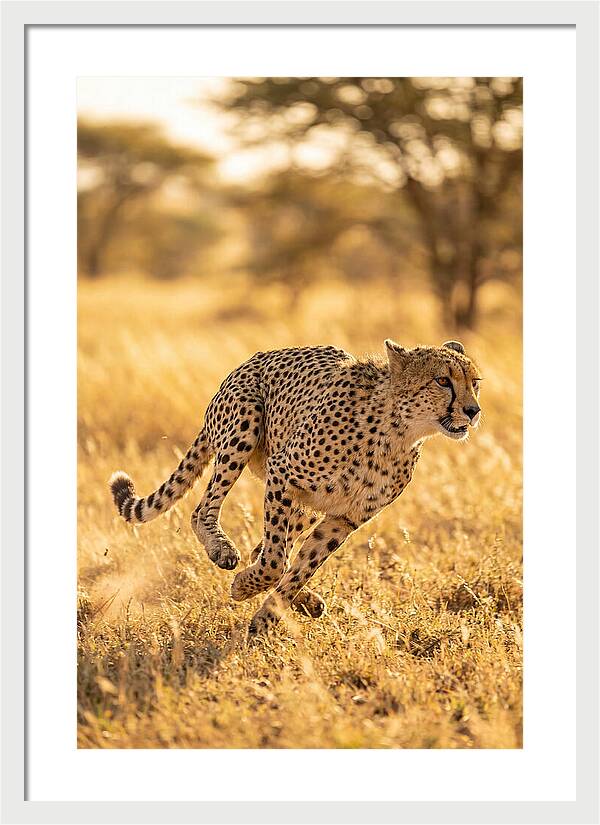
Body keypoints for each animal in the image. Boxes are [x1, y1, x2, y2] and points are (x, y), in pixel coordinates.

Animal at [110, 339, 482, 636]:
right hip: (244, 426)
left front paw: (267, 616)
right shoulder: (282, 474)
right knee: (204, 511)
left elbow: (301, 566)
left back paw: (306, 601)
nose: (473, 410)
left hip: (306, 505)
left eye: (474, 382)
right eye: (442, 380)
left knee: (266, 548)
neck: (398, 432)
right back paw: (222, 550)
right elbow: (275, 561)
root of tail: (251, 360)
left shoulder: (344, 518)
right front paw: (244, 588)